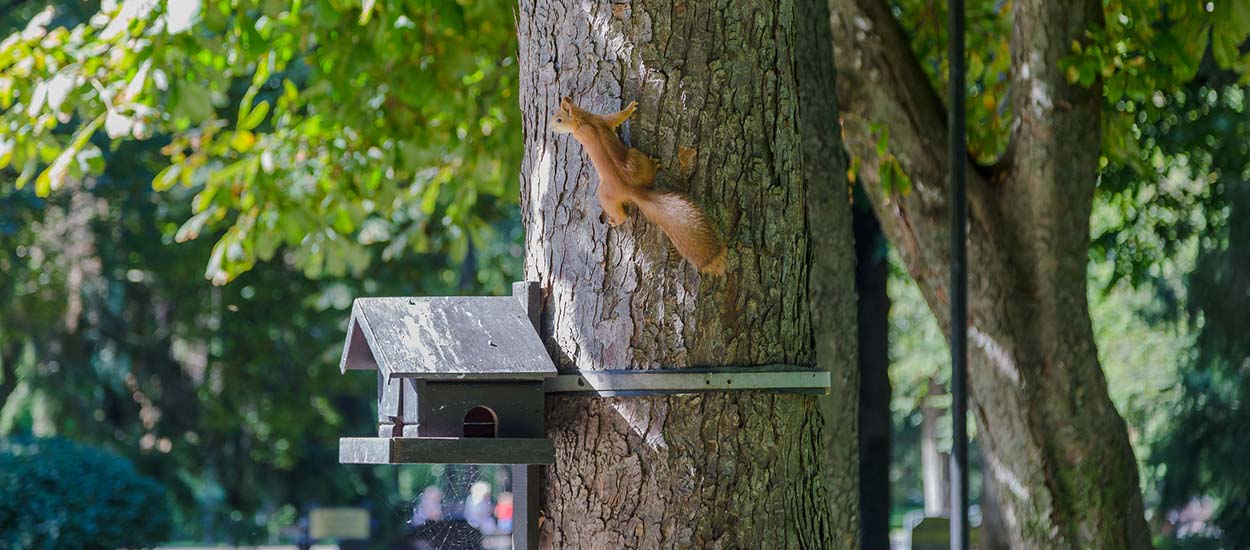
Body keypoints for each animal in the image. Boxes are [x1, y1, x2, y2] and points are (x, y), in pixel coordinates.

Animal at [552, 97, 730, 273]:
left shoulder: (598, 121)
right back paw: (653, 166)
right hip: (636, 158)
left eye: (558, 119)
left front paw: (630, 108)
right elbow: (616, 118)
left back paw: (617, 220)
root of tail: (631, 189)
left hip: (605, 192)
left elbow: (618, 117)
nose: (551, 129)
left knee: (621, 214)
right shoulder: (601, 120)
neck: (583, 122)